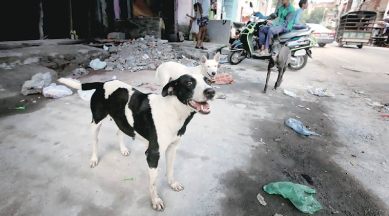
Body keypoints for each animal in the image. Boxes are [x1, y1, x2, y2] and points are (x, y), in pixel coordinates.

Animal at [58, 74, 215, 211]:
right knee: (95, 141)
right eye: (189, 83)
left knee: (119, 132)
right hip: (96, 122)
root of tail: (103, 83)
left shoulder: (172, 147)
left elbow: (170, 170)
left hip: (121, 119)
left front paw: (173, 184)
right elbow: (153, 183)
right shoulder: (153, 154)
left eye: (208, 80)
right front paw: (155, 201)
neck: (174, 111)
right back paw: (94, 159)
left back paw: (123, 149)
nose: (211, 91)